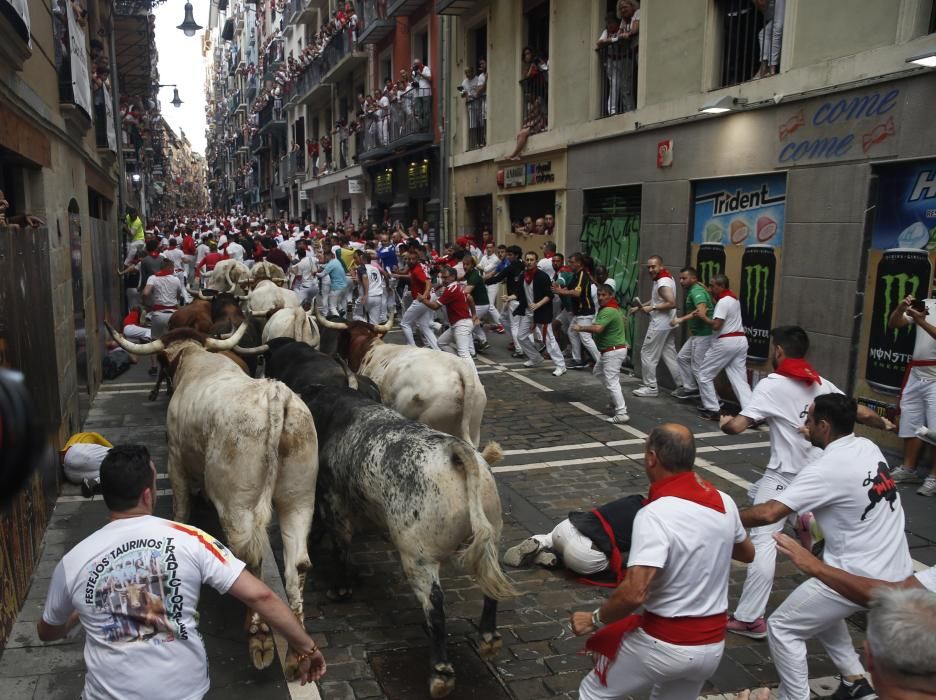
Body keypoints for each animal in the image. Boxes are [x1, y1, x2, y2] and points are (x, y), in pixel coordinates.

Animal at [106, 322, 318, 680]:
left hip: (238, 506)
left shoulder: (176, 459)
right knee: (298, 562)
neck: (194, 359)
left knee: (252, 557)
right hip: (299, 499)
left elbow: (181, 508)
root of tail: (274, 394)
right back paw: (296, 652)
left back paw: (259, 635)